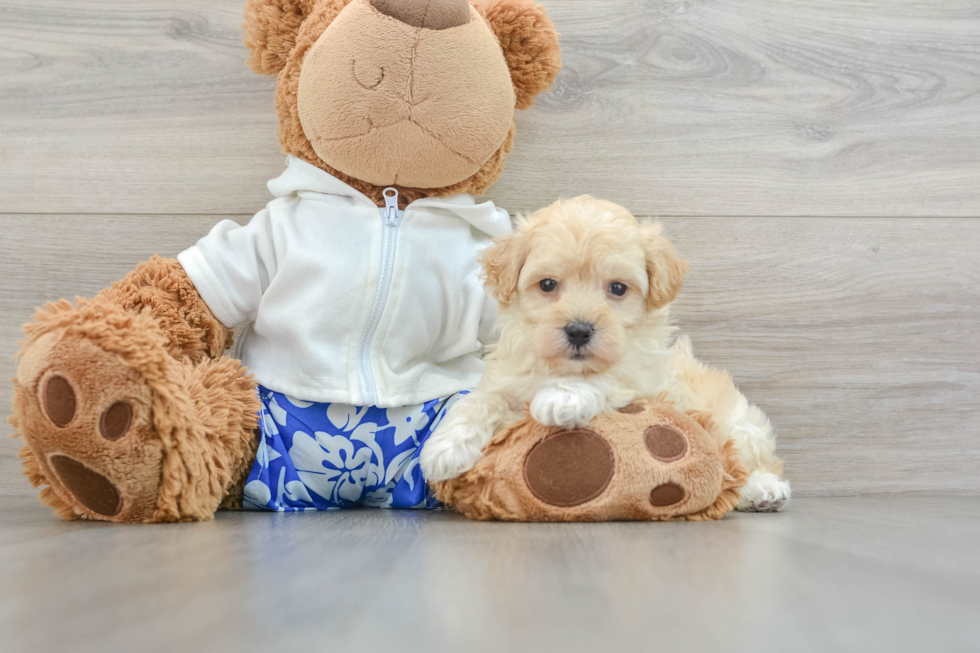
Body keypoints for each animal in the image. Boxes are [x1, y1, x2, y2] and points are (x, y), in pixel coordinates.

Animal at [420, 194, 788, 510]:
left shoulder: (644, 380)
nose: (579, 330)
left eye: (618, 289)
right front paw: (444, 448)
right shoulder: (506, 379)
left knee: (744, 461)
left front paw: (563, 397)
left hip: (738, 424)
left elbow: (607, 377)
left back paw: (763, 489)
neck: (562, 368)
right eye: (548, 284)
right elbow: (479, 401)